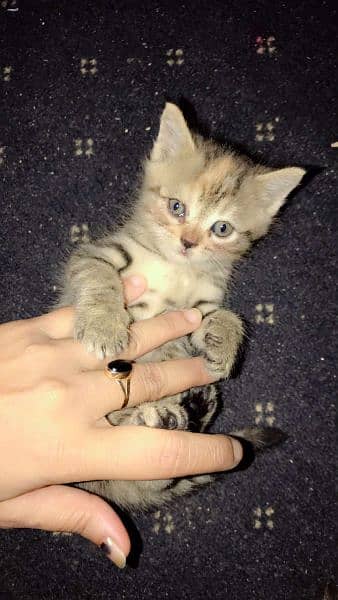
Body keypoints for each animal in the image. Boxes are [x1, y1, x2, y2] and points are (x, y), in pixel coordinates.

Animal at [56, 104, 304, 510]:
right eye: (177, 207)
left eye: (222, 229)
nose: (188, 242)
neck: (177, 267)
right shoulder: (96, 254)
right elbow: (99, 277)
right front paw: (104, 326)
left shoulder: (201, 306)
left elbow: (223, 316)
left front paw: (224, 346)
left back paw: (185, 410)